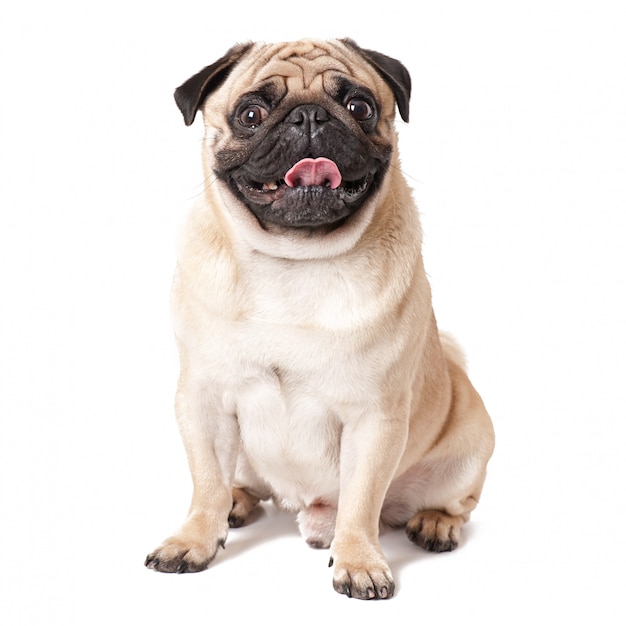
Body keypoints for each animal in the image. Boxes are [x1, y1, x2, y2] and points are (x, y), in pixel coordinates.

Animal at [145, 35, 492, 600]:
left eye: (360, 107)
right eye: (251, 114)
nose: (309, 116)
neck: (293, 261)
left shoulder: (375, 418)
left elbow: (361, 502)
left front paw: (359, 561)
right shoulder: (203, 399)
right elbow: (206, 483)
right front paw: (194, 539)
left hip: (472, 444)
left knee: (449, 502)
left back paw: (434, 523)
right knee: (237, 482)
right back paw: (237, 501)